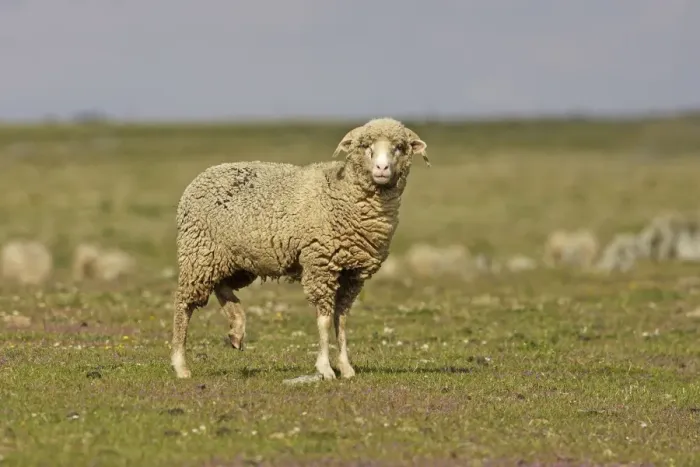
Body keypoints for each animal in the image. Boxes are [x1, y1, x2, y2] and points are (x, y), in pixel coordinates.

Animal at [171, 117, 429, 380]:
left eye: (399, 147)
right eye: (365, 146)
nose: (382, 168)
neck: (344, 192)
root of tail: (203, 175)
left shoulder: (352, 273)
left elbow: (342, 320)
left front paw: (346, 367)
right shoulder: (321, 264)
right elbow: (324, 321)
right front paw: (325, 368)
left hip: (237, 258)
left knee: (221, 285)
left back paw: (236, 327)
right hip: (198, 251)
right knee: (184, 304)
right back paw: (181, 364)